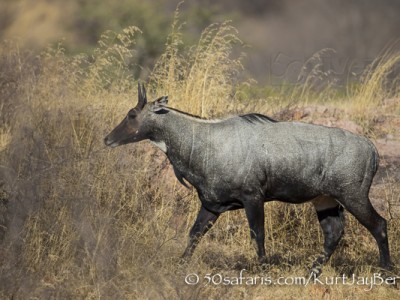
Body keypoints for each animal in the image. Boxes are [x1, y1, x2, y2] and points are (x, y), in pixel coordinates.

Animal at [104, 83, 392, 276]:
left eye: (132, 114)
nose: (107, 139)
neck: (204, 141)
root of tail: (371, 148)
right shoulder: (211, 204)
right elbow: (194, 233)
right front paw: (179, 266)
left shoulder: (253, 196)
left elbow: (258, 234)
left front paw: (263, 270)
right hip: (325, 200)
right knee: (333, 233)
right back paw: (311, 274)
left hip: (353, 196)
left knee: (379, 224)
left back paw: (387, 271)